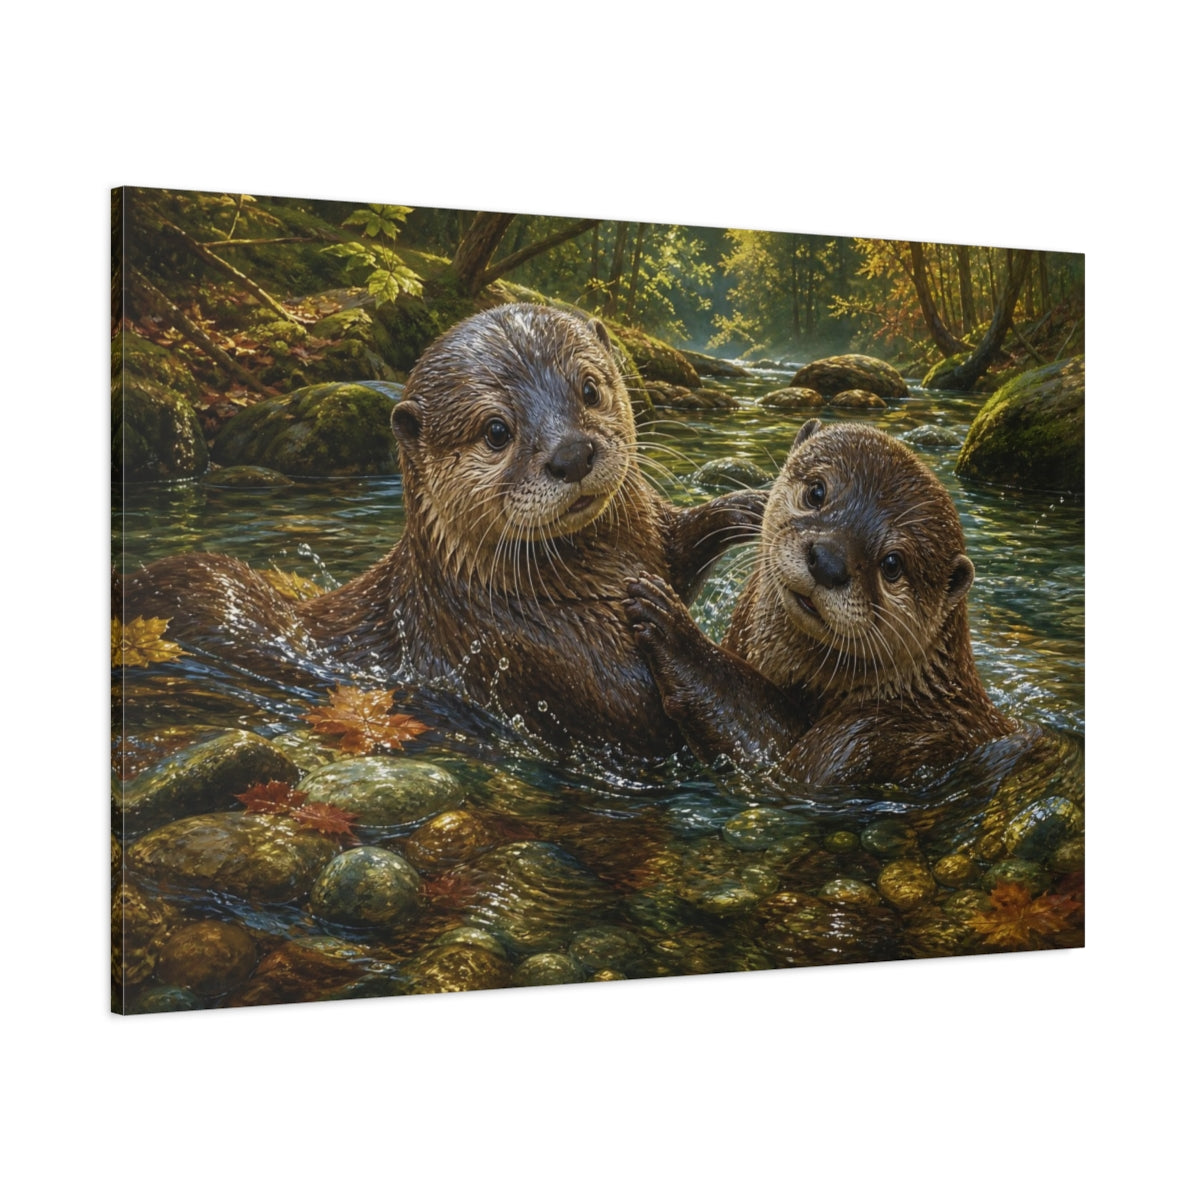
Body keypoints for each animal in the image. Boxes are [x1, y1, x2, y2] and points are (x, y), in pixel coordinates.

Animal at [122, 304, 765, 760]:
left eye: (589, 388)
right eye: (497, 430)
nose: (573, 454)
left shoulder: (651, 536)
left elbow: (684, 541)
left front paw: (753, 506)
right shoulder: (549, 663)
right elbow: (655, 715)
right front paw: (670, 629)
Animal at [623, 419, 1018, 787]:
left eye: (892, 564)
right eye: (816, 492)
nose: (828, 562)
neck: (910, 694)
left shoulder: (865, 739)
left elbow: (779, 757)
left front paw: (675, 632)